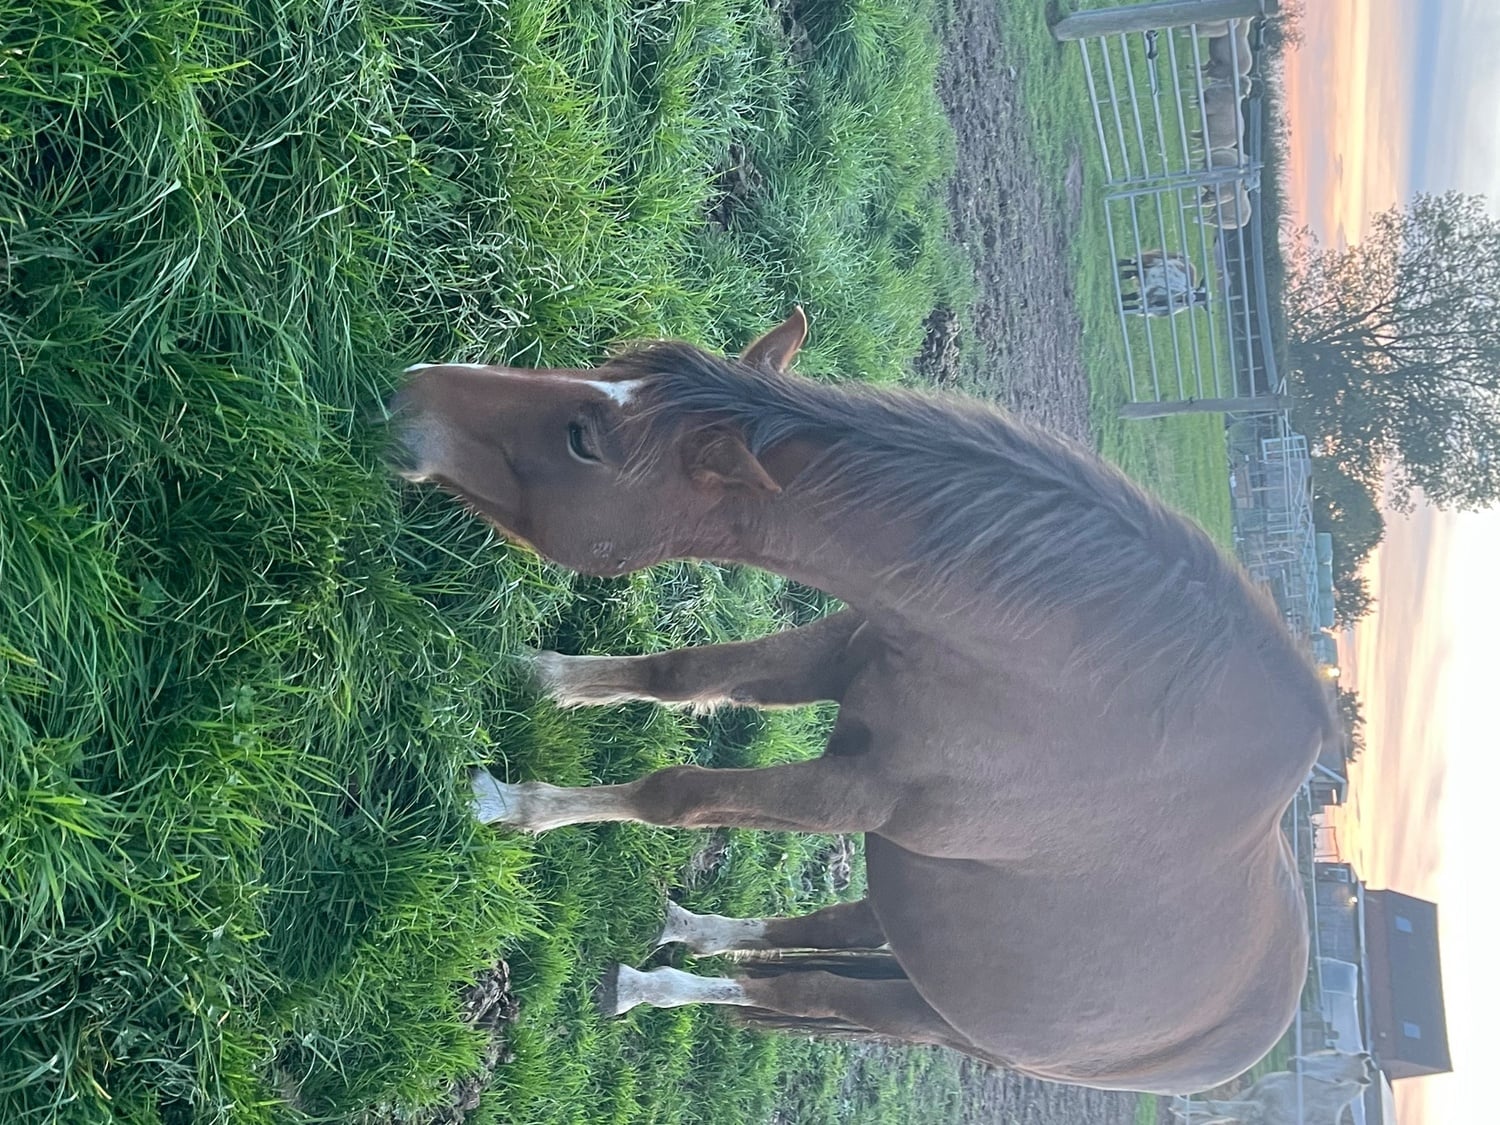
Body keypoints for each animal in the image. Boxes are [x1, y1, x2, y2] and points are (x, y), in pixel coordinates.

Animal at [388, 308, 1334, 1095]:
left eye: (583, 438)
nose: (411, 390)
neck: (1072, 688)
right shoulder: (843, 653)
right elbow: (684, 674)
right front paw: (542, 674)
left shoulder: (858, 793)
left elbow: (677, 793)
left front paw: (515, 803)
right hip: (908, 927)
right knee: (814, 935)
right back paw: (690, 934)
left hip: (928, 1013)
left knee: (808, 988)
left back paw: (652, 984)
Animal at [1168, 1049, 1379, 1124]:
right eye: (1336, 1054)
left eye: (1338, 1079)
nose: (1293, 1064)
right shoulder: (1252, 1093)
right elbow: (1210, 1115)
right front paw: (1181, 1113)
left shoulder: (1256, 1109)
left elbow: (1215, 1108)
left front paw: (1177, 1106)